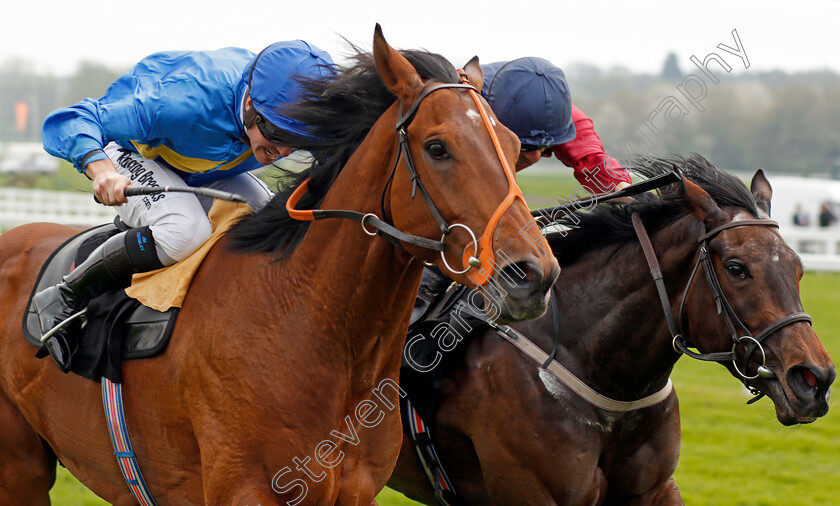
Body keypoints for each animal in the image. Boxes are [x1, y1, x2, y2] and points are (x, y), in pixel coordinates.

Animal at [1, 27, 564, 506]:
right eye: (437, 147)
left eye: (515, 147)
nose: (532, 275)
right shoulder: (249, 489)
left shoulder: (355, 491)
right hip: (21, 468)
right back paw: (59, 304)